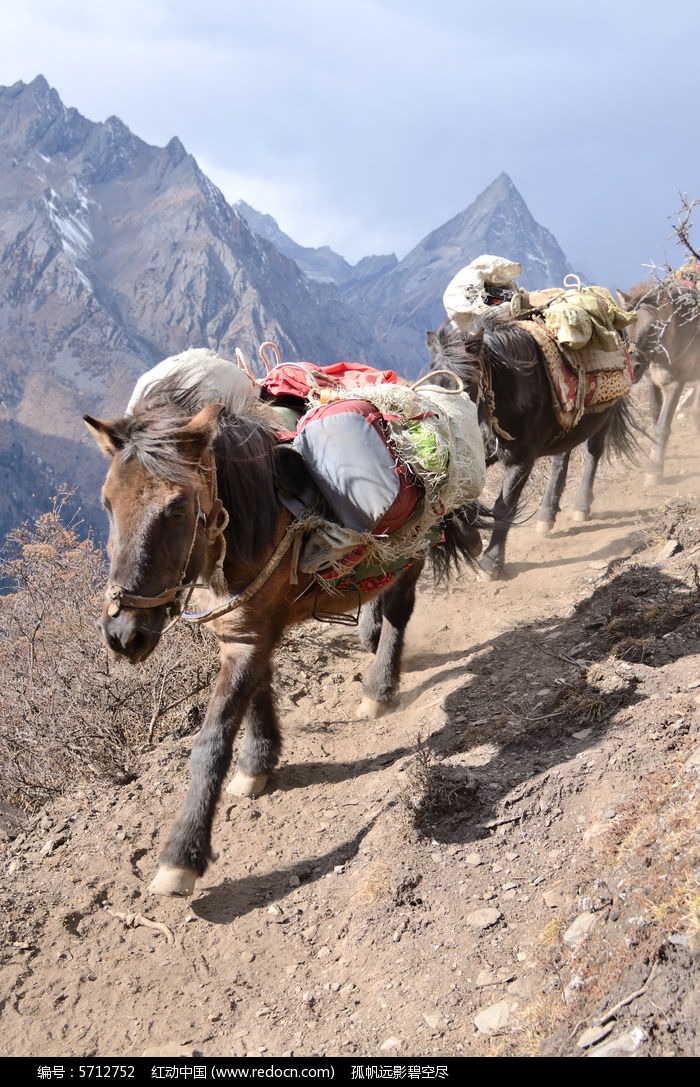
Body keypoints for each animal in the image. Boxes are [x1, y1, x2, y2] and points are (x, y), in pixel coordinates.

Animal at [84, 360, 484, 895]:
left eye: (177, 507)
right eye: (108, 503)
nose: (124, 635)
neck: (251, 523)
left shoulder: (249, 637)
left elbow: (212, 739)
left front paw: (182, 855)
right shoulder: (242, 631)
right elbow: (258, 692)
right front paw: (259, 763)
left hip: (414, 550)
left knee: (399, 612)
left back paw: (379, 688)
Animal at [426, 315, 639, 582]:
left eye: (466, 385)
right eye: (433, 382)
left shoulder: (522, 460)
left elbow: (505, 506)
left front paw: (490, 562)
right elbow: (456, 497)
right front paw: (472, 541)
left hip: (605, 417)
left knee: (593, 453)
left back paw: (581, 507)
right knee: (561, 459)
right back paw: (546, 515)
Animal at [617, 280, 700, 484]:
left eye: (653, 327)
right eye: (625, 329)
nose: (634, 367)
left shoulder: (675, 384)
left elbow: (663, 425)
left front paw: (654, 470)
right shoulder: (652, 382)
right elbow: (655, 416)